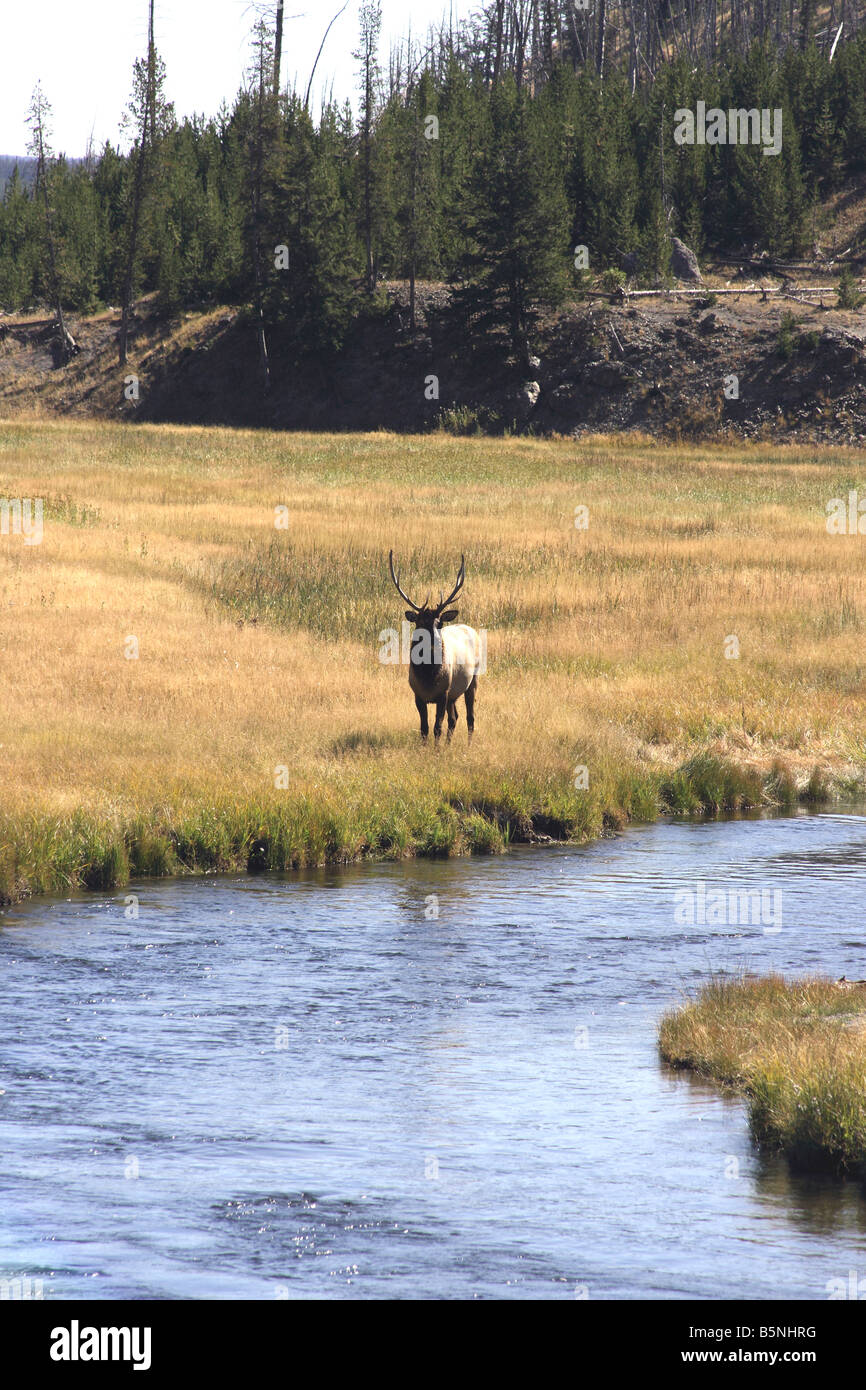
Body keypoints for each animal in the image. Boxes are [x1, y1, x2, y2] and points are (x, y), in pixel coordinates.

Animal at [389, 550, 483, 745]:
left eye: (439, 623)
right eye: (419, 622)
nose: (435, 640)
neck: (428, 679)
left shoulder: (443, 693)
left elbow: (437, 727)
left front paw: (436, 749)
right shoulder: (417, 694)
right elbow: (424, 728)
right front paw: (426, 748)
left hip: (473, 679)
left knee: (470, 717)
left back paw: (468, 745)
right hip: (454, 693)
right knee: (454, 718)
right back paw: (448, 745)